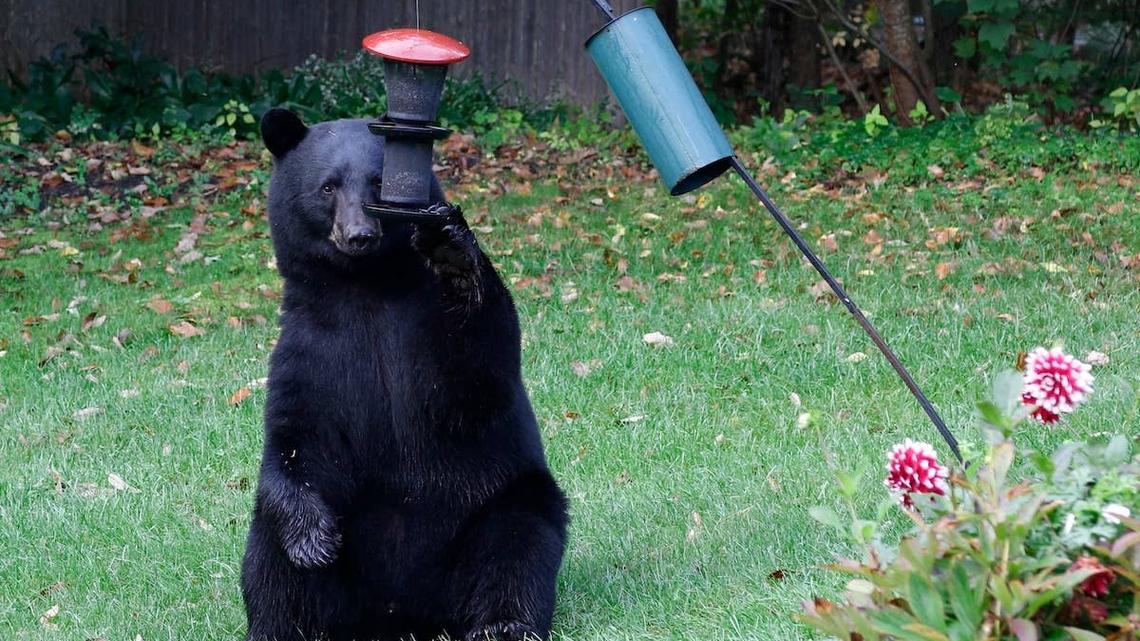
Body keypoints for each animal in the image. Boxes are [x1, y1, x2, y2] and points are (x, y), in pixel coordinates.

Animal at [240, 108, 568, 641]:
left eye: (378, 182)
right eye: (328, 187)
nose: (359, 234)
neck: (366, 288)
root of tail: (401, 617)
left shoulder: (423, 325)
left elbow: (474, 380)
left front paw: (455, 254)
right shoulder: (309, 349)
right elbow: (295, 437)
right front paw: (313, 540)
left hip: (499, 504)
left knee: (517, 548)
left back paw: (502, 625)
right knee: (270, 560)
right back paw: (279, 626)